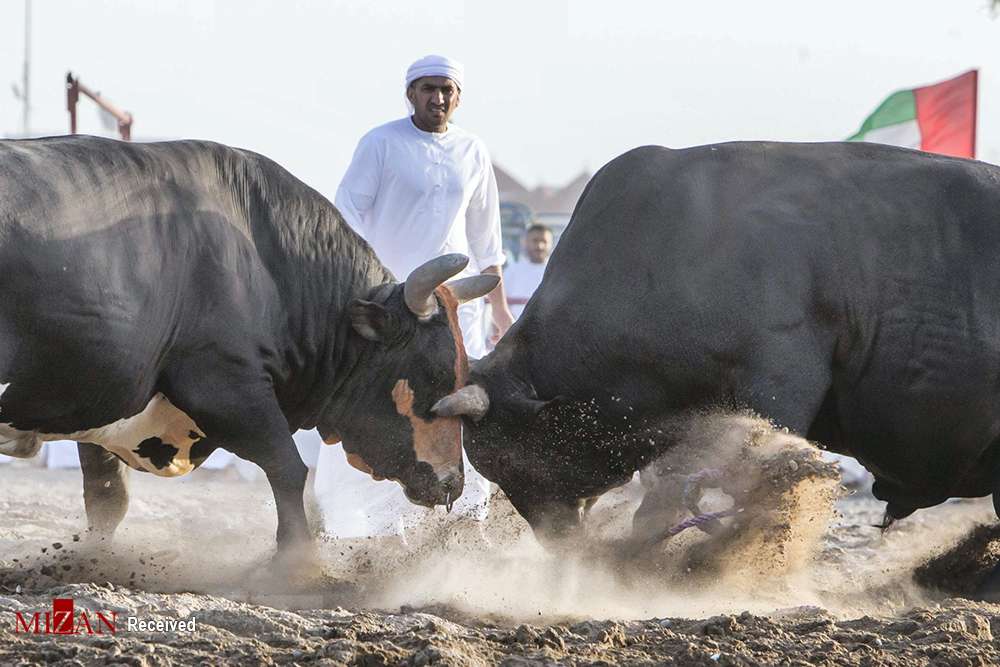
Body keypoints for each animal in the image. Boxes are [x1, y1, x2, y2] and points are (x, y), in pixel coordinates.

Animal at [0, 138, 498, 560]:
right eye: (434, 373)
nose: (453, 482)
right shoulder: (227, 387)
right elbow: (287, 467)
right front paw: (298, 564)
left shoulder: (101, 395)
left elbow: (107, 497)